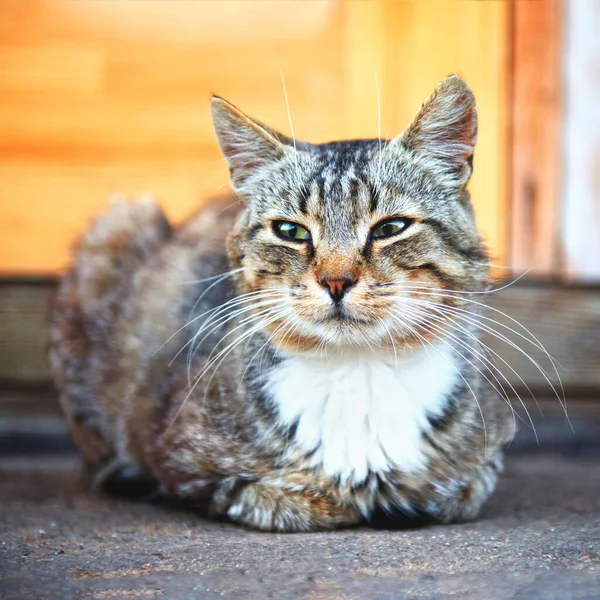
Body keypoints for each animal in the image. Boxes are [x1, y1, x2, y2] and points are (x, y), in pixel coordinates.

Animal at [49, 76, 512, 536]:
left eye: (391, 227)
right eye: (291, 231)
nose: (336, 281)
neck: (357, 366)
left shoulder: (483, 461)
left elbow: (452, 491)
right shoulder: (180, 457)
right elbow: (272, 496)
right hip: (116, 225)